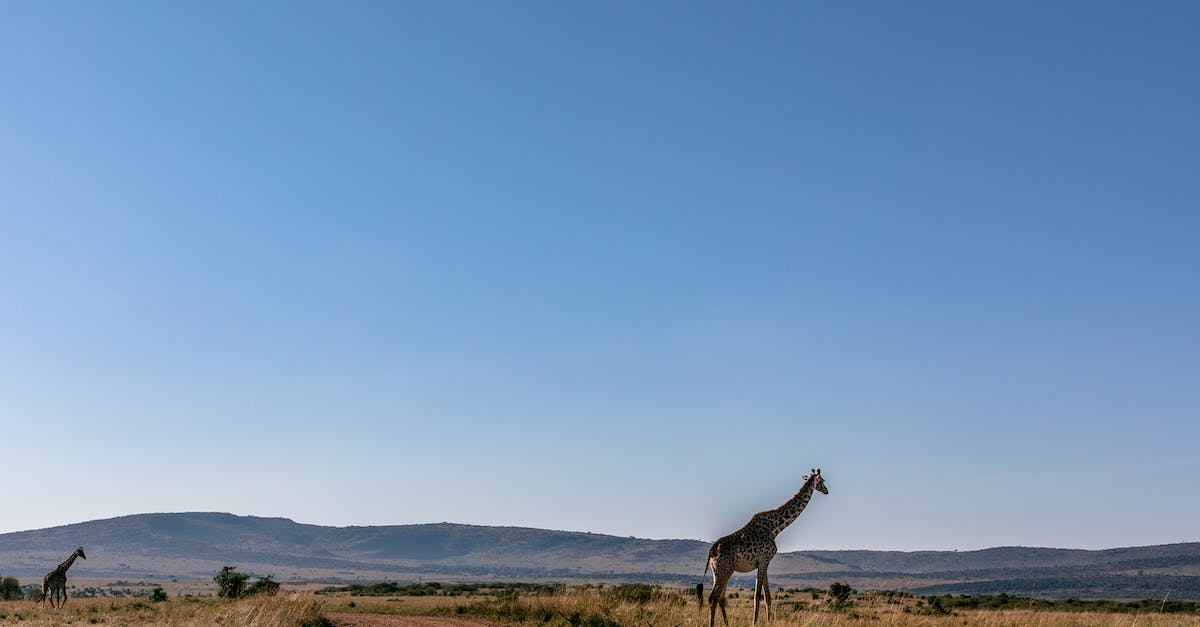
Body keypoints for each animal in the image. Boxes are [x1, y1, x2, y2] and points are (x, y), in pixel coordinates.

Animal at [700, 468, 830, 624]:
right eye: (822, 480)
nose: (827, 491)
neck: (776, 527)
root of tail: (712, 551)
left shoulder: (764, 562)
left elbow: (767, 596)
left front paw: (769, 621)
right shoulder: (764, 560)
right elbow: (757, 596)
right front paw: (754, 622)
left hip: (718, 572)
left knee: (719, 597)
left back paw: (726, 624)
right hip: (725, 571)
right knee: (713, 597)